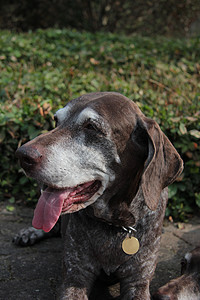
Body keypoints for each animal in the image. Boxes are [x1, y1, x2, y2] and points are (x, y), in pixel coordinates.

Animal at [15, 92, 183, 298]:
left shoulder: (138, 282)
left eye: (91, 127)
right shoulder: (75, 277)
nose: (22, 155)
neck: (115, 225)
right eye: (56, 121)